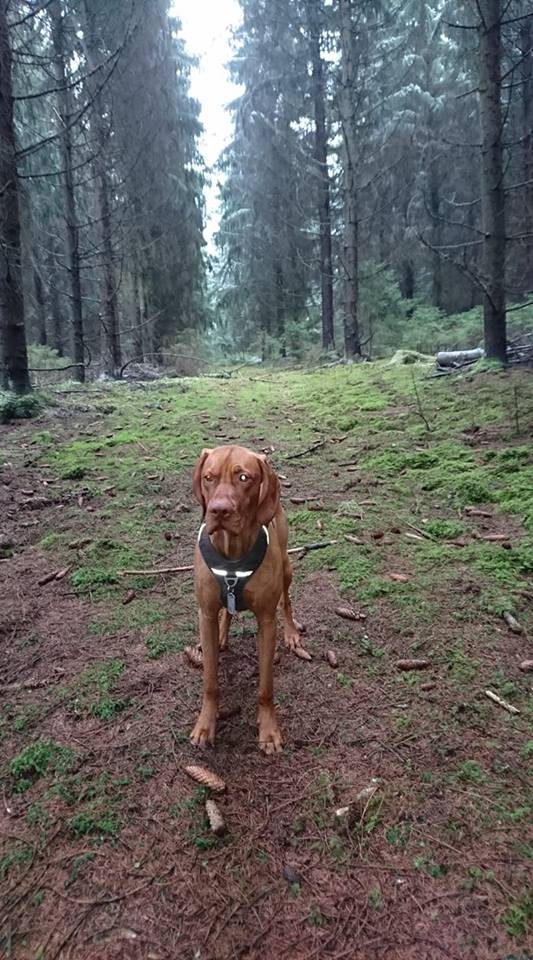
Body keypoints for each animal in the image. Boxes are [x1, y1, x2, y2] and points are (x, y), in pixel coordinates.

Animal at [191, 446, 302, 752]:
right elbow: (210, 681)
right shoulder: (205, 613)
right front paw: (205, 725)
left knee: (286, 601)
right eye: (208, 477)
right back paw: (221, 636)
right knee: (226, 612)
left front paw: (269, 731)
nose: (219, 510)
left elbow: (266, 686)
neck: (232, 554)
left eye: (244, 478)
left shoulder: (266, 621)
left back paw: (292, 633)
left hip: (287, 567)